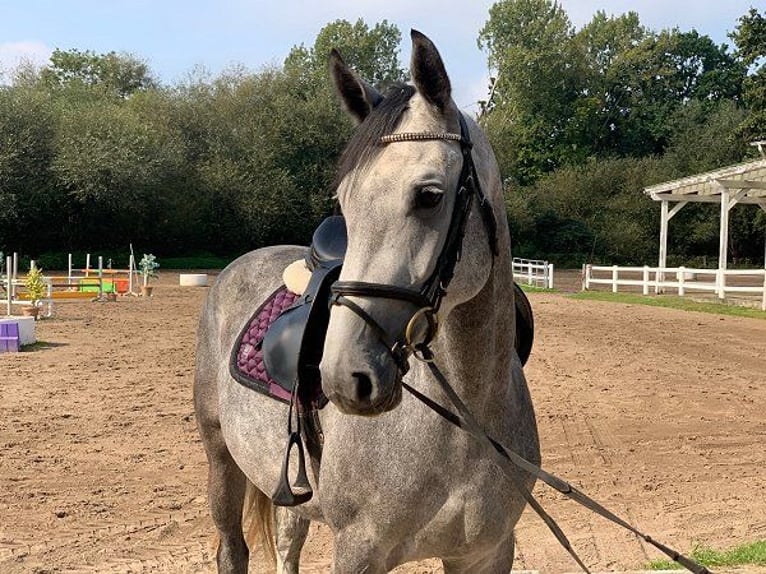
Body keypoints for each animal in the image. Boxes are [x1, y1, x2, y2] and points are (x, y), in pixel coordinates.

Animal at [194, 31, 540, 574]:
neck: (468, 421)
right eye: (346, 203)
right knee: (232, 549)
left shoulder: (487, 552)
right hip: (220, 458)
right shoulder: (360, 550)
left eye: (429, 195)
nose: (344, 376)